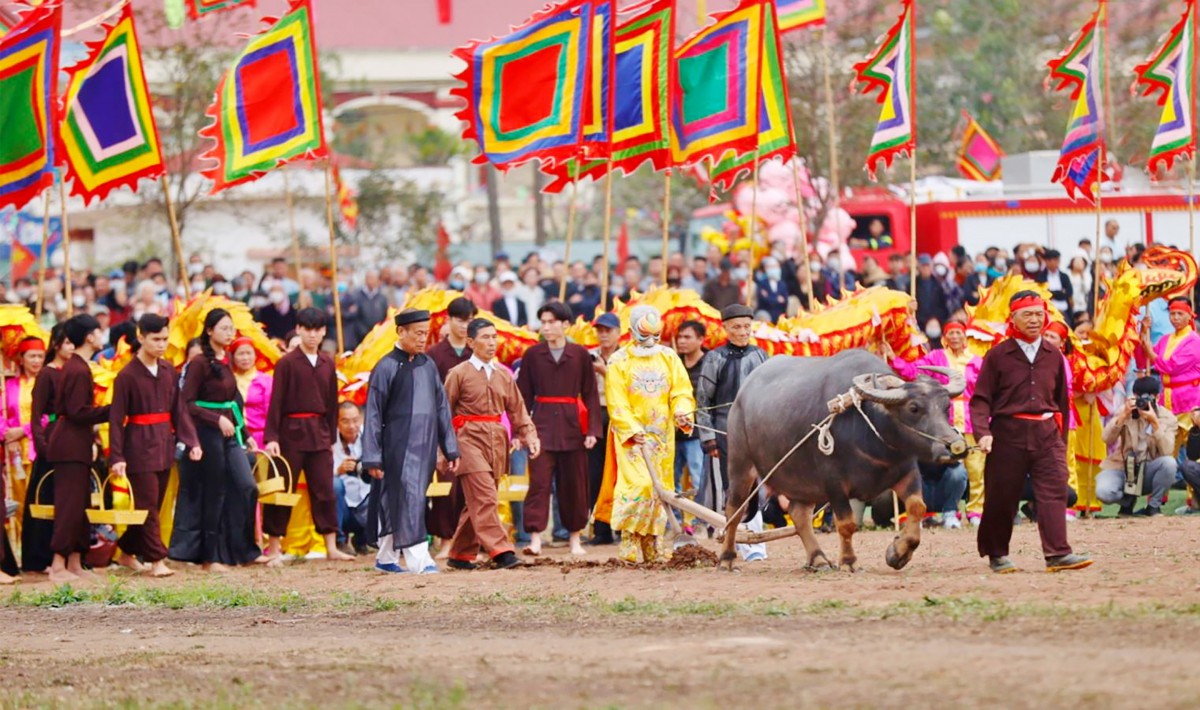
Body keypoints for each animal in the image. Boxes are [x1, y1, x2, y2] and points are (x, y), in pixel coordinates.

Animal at [720, 347, 964, 573]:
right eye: (913, 408)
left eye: (946, 406)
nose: (954, 446)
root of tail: (741, 395)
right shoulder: (833, 482)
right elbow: (847, 523)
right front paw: (849, 561)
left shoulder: (907, 472)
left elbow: (917, 507)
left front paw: (898, 553)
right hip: (740, 464)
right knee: (734, 510)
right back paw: (726, 559)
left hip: (801, 481)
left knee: (799, 514)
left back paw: (818, 558)